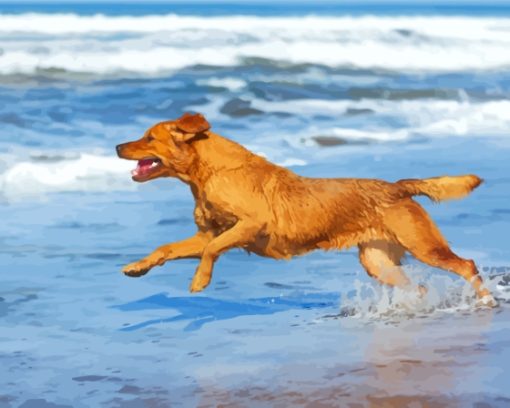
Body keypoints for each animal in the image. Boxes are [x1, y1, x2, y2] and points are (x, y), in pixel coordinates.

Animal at [116, 111, 498, 306]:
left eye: (149, 137)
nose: (118, 146)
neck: (208, 174)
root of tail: (397, 186)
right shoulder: (207, 233)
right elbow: (166, 247)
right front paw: (138, 267)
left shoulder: (250, 225)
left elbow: (212, 250)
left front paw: (200, 280)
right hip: (377, 262)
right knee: (416, 287)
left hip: (423, 245)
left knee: (466, 265)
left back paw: (486, 300)